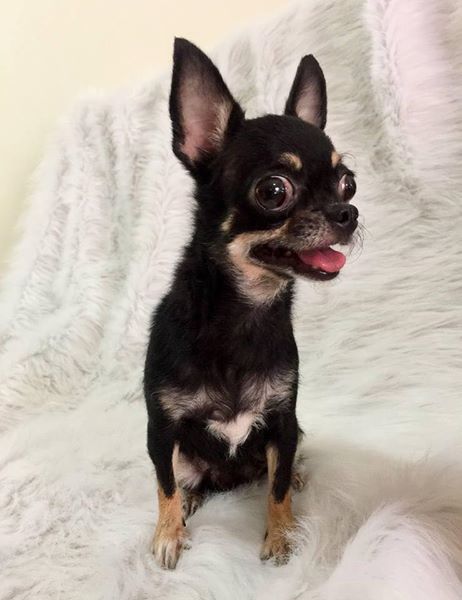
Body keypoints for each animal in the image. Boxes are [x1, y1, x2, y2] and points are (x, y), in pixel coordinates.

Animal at [144, 37, 359, 569]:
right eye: (273, 190)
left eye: (349, 182)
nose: (348, 211)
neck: (245, 314)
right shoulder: (161, 429)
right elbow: (162, 486)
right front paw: (168, 534)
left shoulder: (283, 422)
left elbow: (277, 489)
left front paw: (280, 536)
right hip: (185, 453)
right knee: (183, 478)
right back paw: (190, 500)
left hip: (293, 433)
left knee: (273, 472)